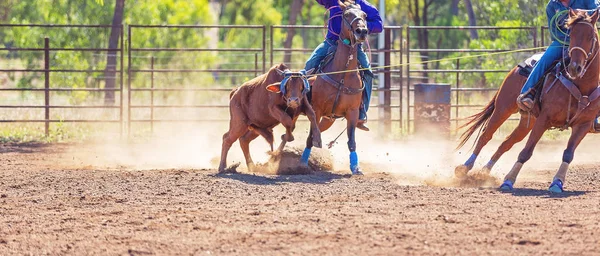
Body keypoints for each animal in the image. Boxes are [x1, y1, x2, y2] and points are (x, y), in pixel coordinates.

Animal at [298, 0, 368, 175]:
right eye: (347, 14)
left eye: (365, 16)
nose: (362, 31)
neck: (342, 74)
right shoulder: (316, 110)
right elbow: (310, 138)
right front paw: (302, 163)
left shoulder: (352, 112)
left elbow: (351, 141)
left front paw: (356, 167)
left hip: (329, 119)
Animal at [454, 10, 600, 193]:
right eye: (571, 34)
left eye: (590, 37)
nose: (575, 68)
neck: (581, 85)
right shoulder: (544, 119)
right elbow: (526, 152)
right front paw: (508, 181)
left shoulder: (583, 125)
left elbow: (568, 154)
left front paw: (557, 183)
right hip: (503, 108)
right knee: (486, 135)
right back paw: (465, 167)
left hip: (527, 121)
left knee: (506, 143)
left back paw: (483, 173)